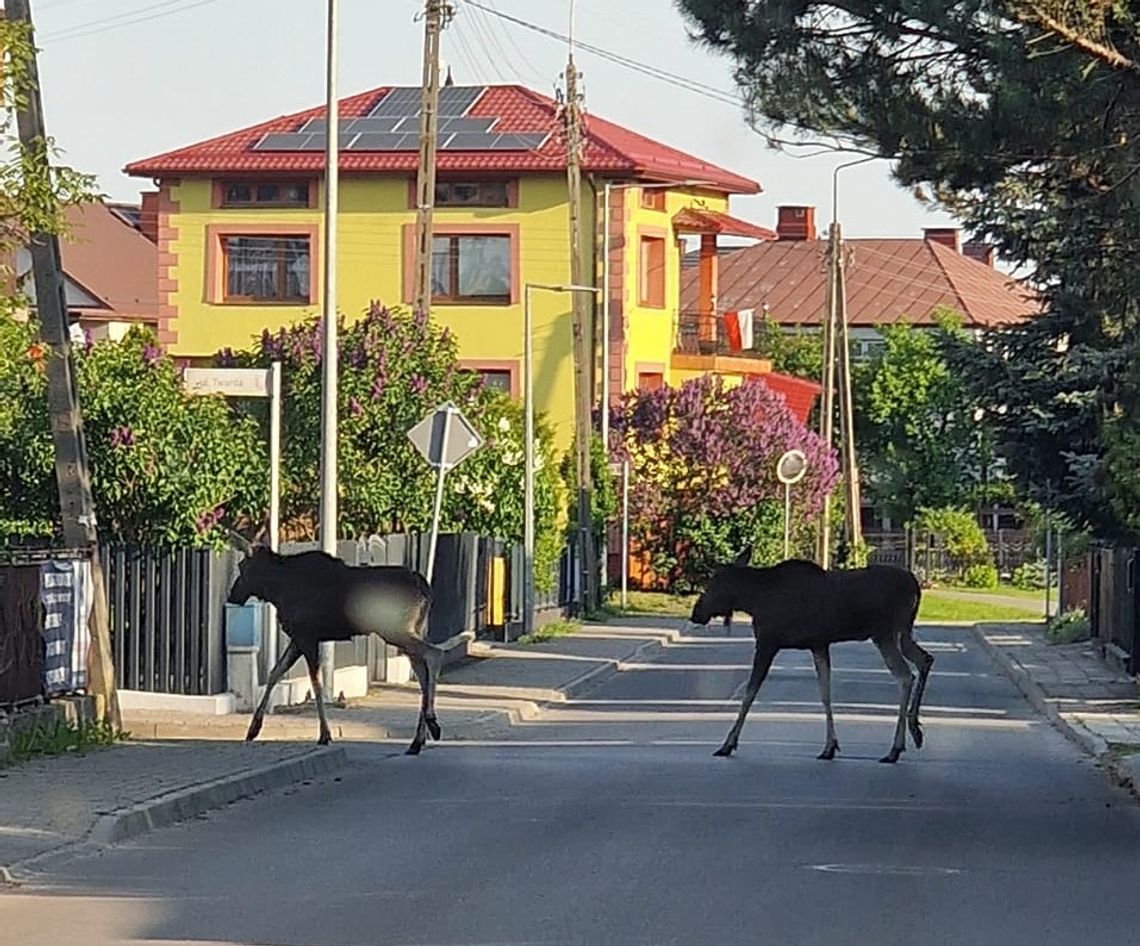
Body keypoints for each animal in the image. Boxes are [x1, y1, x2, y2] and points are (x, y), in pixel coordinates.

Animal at [224, 537, 442, 761]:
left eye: (241, 566)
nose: (232, 595)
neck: (277, 590)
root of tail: (426, 589)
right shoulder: (299, 638)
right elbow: (275, 672)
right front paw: (253, 729)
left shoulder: (306, 637)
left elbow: (316, 683)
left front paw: (324, 734)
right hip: (411, 630)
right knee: (423, 674)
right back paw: (417, 741)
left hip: (396, 630)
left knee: (434, 654)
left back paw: (432, 724)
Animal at [688, 558, 930, 765]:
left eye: (713, 584)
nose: (696, 612)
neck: (753, 600)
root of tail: (916, 588)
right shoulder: (819, 645)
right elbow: (825, 693)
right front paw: (830, 746)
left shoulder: (767, 643)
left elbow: (749, 694)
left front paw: (727, 744)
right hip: (903, 633)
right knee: (925, 659)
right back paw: (915, 731)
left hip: (884, 633)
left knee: (905, 675)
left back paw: (895, 749)